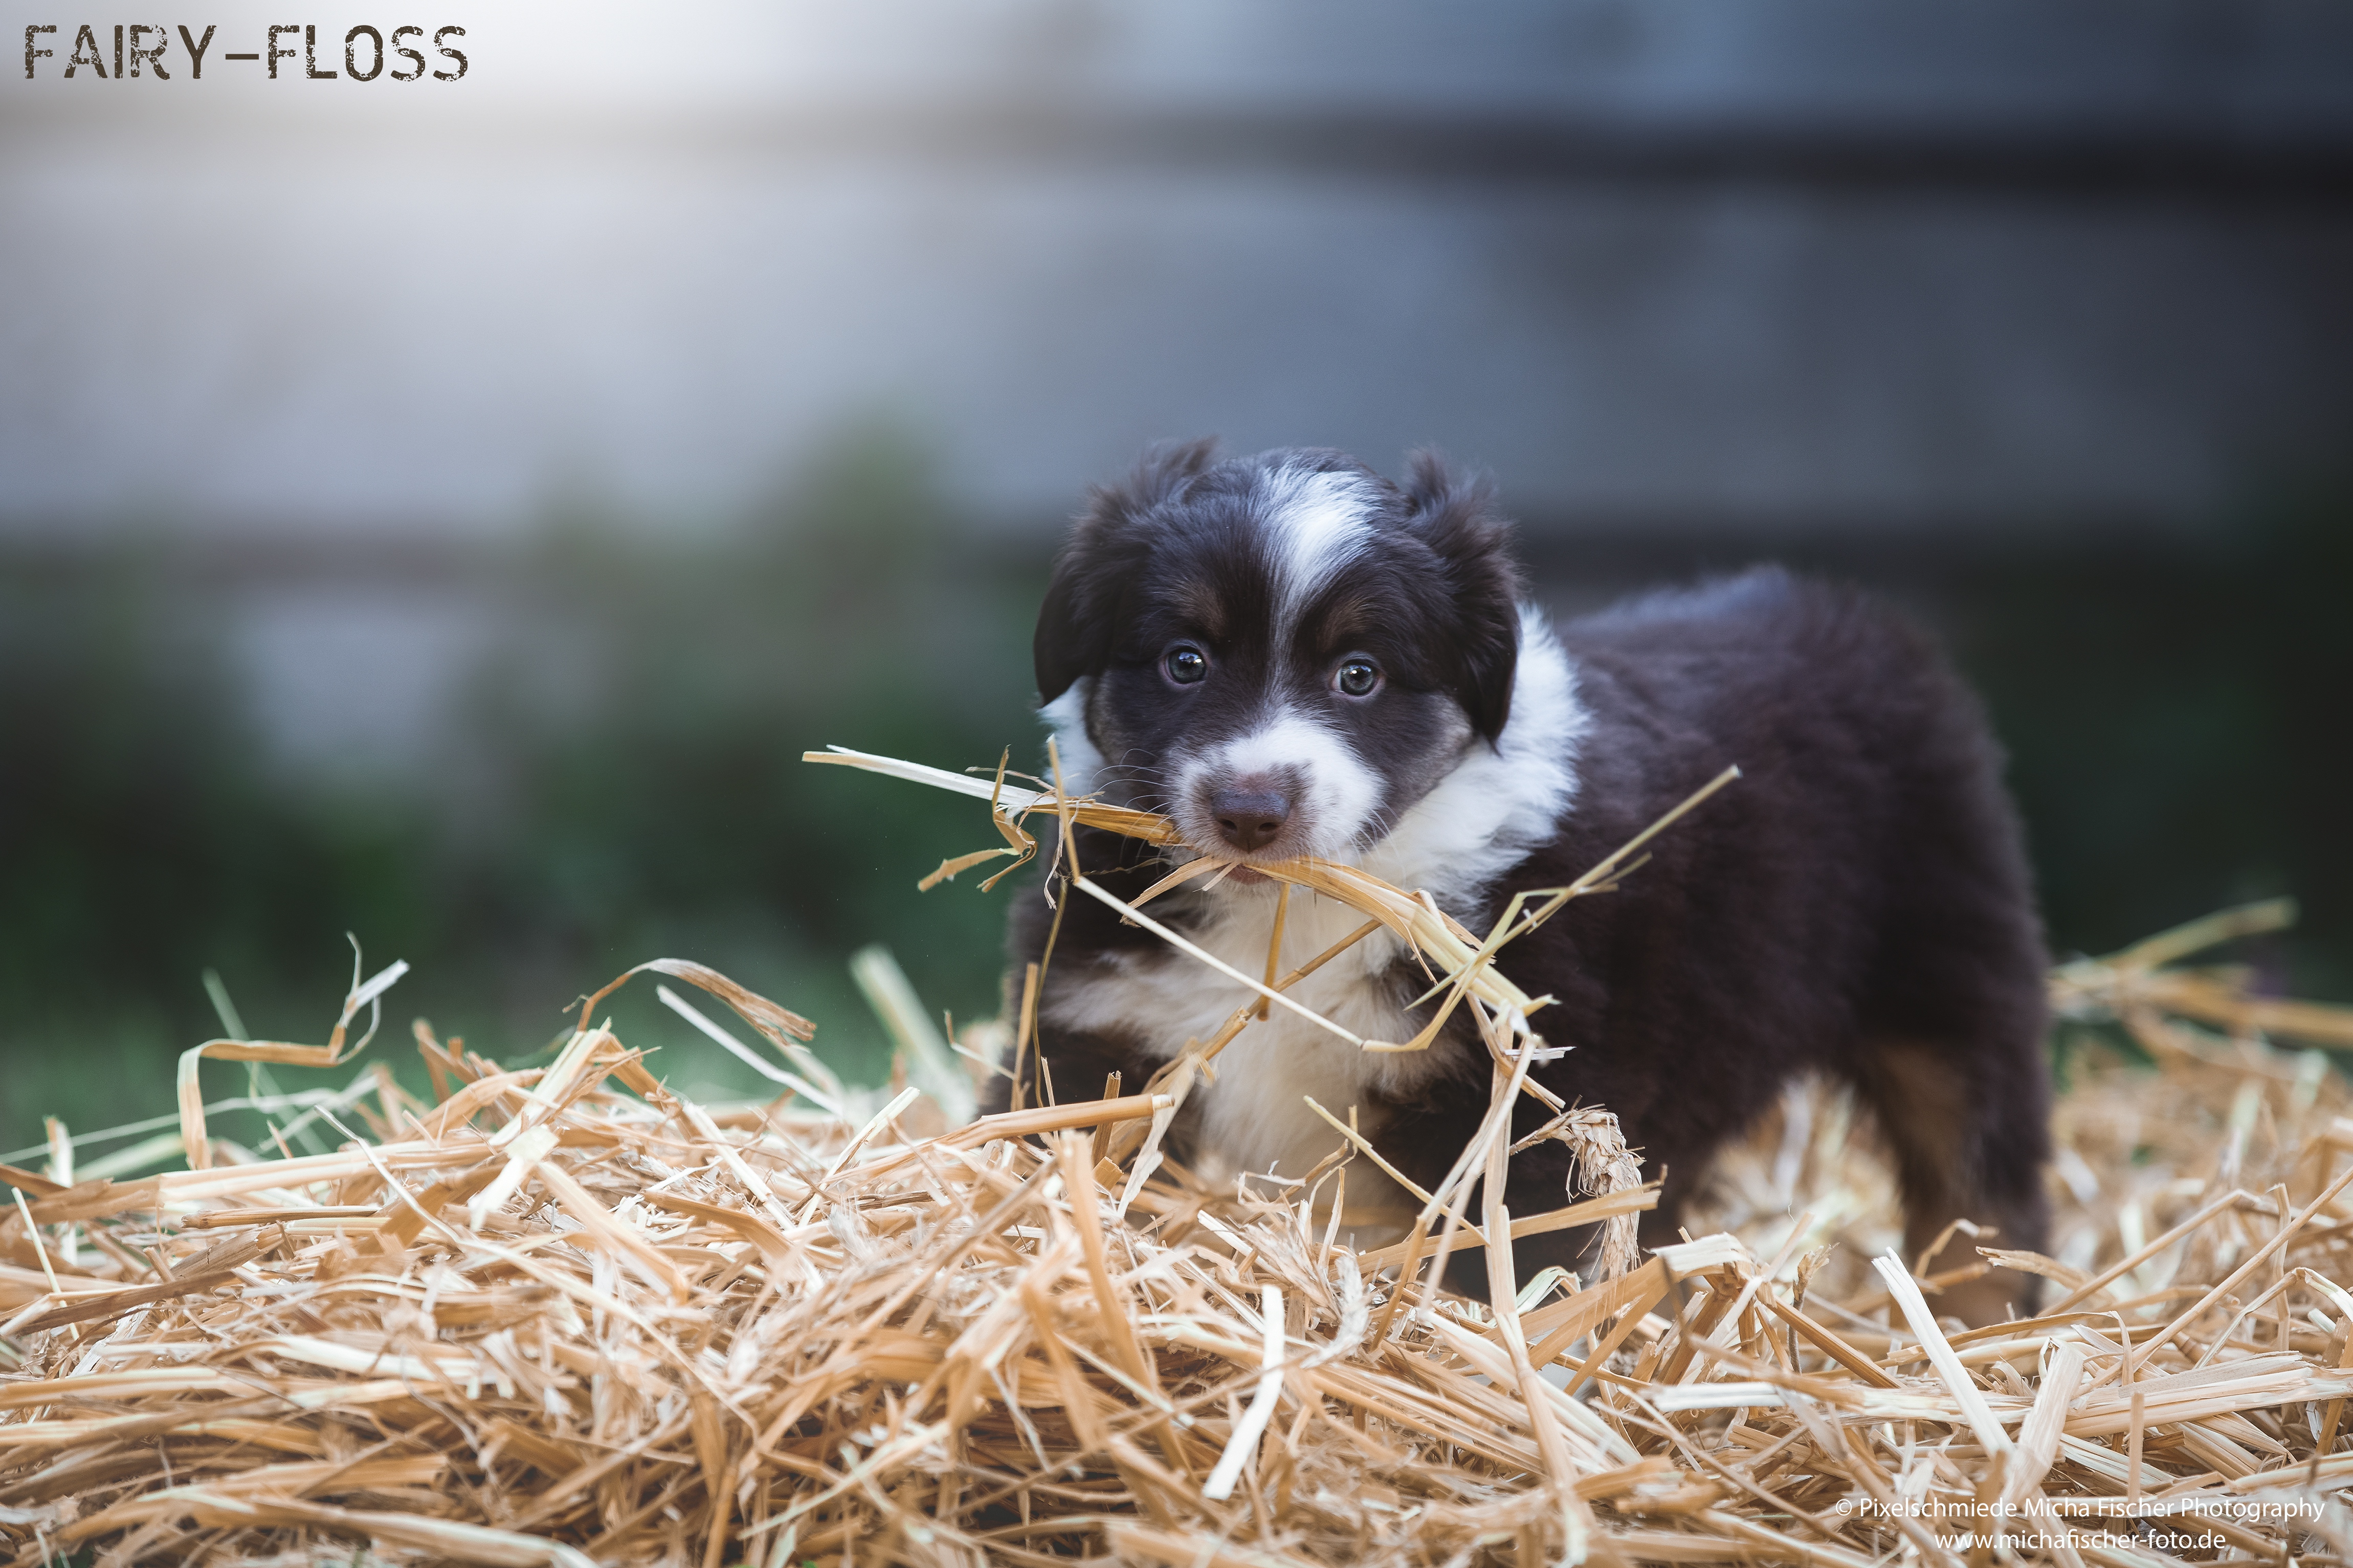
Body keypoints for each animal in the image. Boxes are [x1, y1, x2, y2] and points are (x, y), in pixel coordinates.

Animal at [993, 442, 2061, 1326]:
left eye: (1358, 675)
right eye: (1186, 661)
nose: (1250, 810)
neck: (1297, 917)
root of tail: (1854, 610)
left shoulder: (1523, 1109)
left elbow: (1508, 1272)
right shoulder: (1091, 1038)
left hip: (1952, 976)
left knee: (1981, 1172)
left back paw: (1984, 1327)